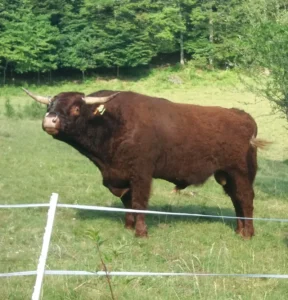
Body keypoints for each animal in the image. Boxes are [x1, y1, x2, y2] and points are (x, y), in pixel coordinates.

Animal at [23, 87, 270, 239]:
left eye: (75, 107)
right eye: (49, 106)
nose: (49, 120)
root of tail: (242, 115)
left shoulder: (141, 173)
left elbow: (139, 202)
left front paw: (141, 232)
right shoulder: (120, 175)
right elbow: (128, 202)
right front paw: (128, 226)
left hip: (240, 172)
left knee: (245, 199)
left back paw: (248, 234)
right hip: (226, 175)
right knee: (236, 200)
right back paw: (239, 230)